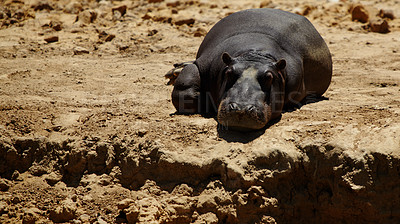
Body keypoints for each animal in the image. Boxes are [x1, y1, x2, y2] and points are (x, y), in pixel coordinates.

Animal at [166, 8, 332, 131]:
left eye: (269, 77)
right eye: (229, 73)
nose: (241, 108)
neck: (255, 55)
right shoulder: (203, 63)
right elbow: (185, 90)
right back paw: (174, 72)